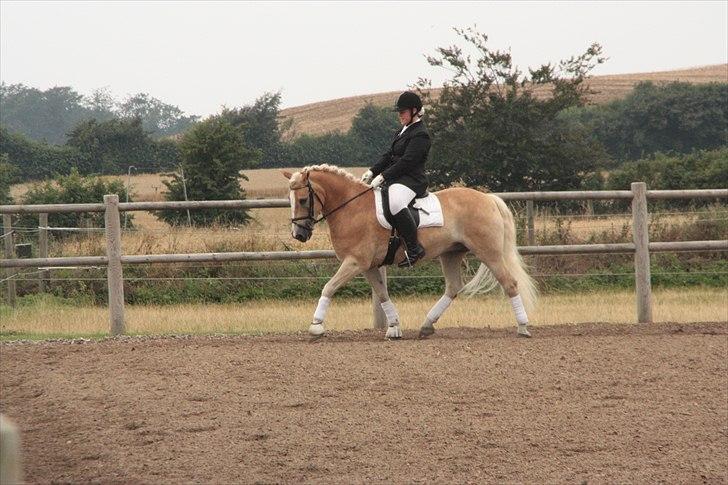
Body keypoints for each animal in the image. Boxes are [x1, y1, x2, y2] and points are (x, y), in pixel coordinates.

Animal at [282, 164, 536, 338]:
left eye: (303, 200)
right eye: (290, 200)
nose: (299, 235)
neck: (352, 208)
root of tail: (488, 198)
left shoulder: (354, 262)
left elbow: (329, 287)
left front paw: (316, 326)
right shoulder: (368, 266)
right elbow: (382, 294)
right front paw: (394, 328)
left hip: (488, 252)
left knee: (509, 283)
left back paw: (523, 327)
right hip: (451, 254)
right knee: (453, 287)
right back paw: (426, 325)